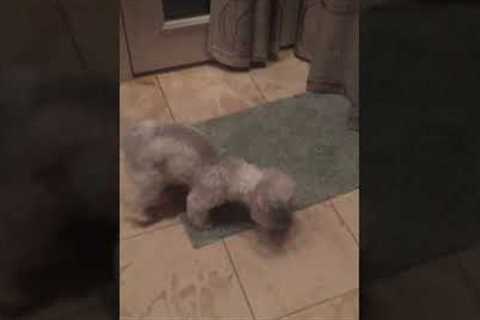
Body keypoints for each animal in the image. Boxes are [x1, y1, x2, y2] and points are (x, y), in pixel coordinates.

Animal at [122, 120, 294, 230]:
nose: (287, 225)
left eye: (289, 206)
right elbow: (195, 210)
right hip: (150, 182)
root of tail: (129, 140)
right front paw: (205, 224)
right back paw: (142, 216)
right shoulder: (201, 197)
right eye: (277, 215)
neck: (230, 173)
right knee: (138, 202)